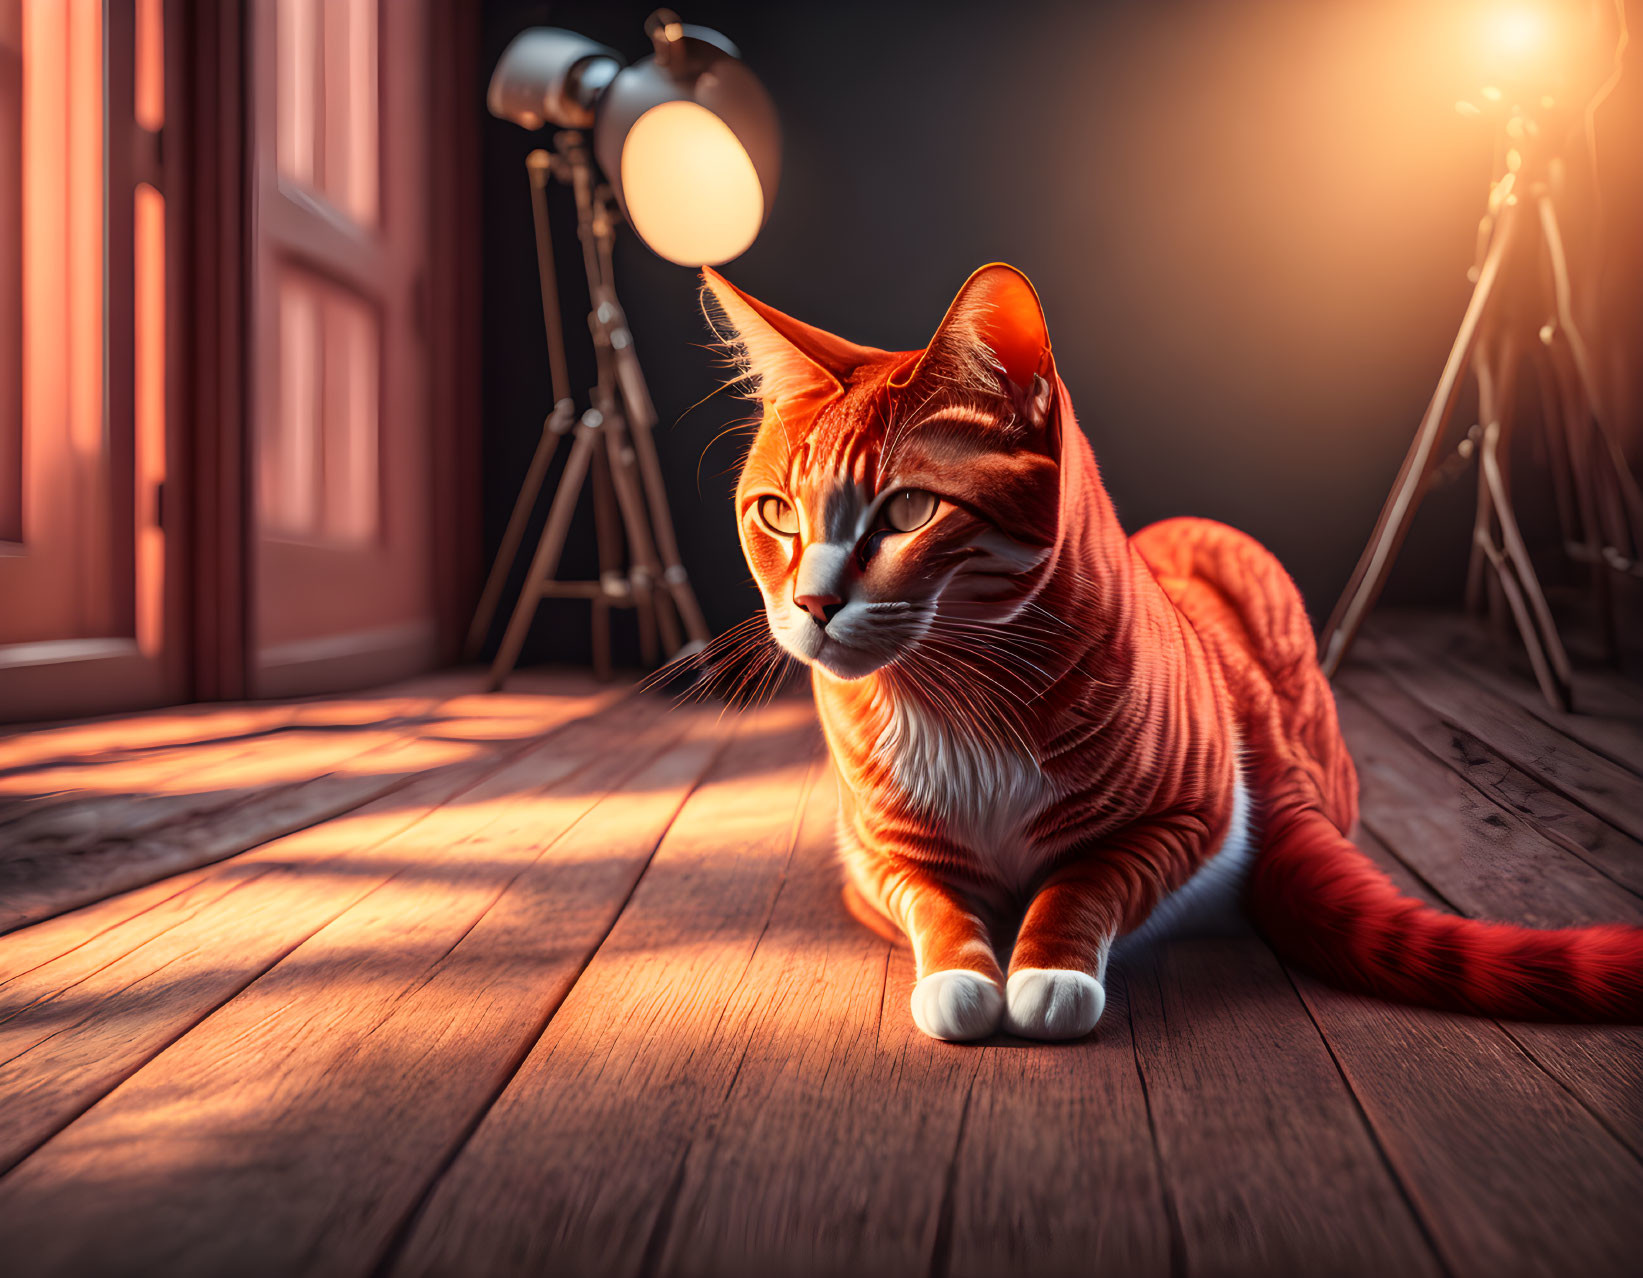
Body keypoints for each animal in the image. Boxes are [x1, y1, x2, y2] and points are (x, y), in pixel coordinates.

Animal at [703, 264, 1643, 1038]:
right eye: (776, 514)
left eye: (906, 511)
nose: (813, 603)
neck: (958, 702)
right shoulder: (872, 859)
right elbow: (931, 898)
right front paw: (960, 976)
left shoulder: (1186, 818)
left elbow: (1084, 882)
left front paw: (1047, 970)